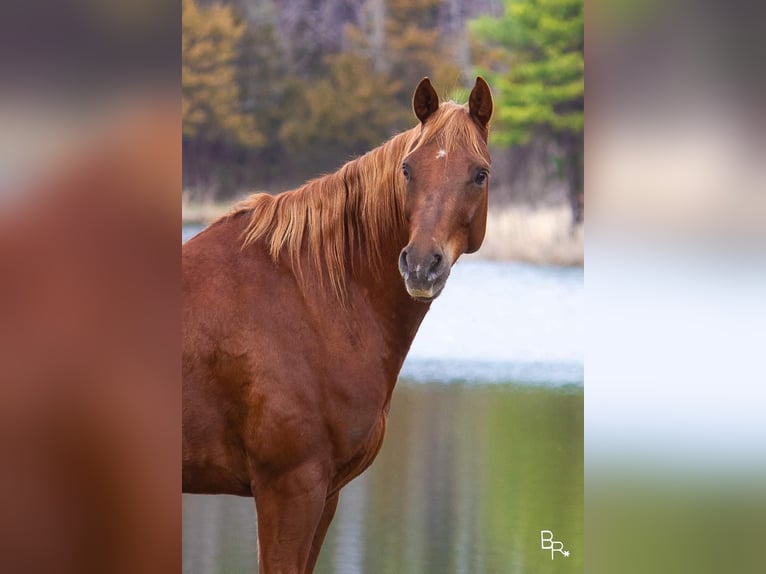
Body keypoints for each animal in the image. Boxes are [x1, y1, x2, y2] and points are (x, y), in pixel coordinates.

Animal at [183, 77, 496, 574]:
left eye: (479, 173)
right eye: (408, 169)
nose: (421, 265)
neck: (311, 298)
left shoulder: (326, 494)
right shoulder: (290, 489)